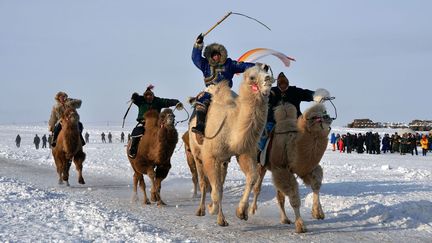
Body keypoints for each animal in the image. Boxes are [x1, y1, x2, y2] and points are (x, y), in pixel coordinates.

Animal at [188, 65, 274, 227]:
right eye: (252, 77)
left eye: (267, 71)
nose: (267, 80)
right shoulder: (210, 156)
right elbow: (215, 189)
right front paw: (211, 207)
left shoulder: (244, 152)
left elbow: (252, 177)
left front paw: (241, 212)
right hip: (196, 153)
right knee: (203, 182)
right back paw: (201, 210)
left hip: (224, 161)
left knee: (220, 183)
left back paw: (221, 219)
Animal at [250, 101, 330, 233]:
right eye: (314, 116)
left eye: (324, 112)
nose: (328, 118)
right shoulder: (282, 170)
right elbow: (294, 197)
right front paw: (300, 225)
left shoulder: (307, 168)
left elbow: (316, 185)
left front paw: (318, 213)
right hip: (262, 165)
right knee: (257, 187)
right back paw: (251, 210)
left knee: (279, 195)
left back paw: (285, 219)